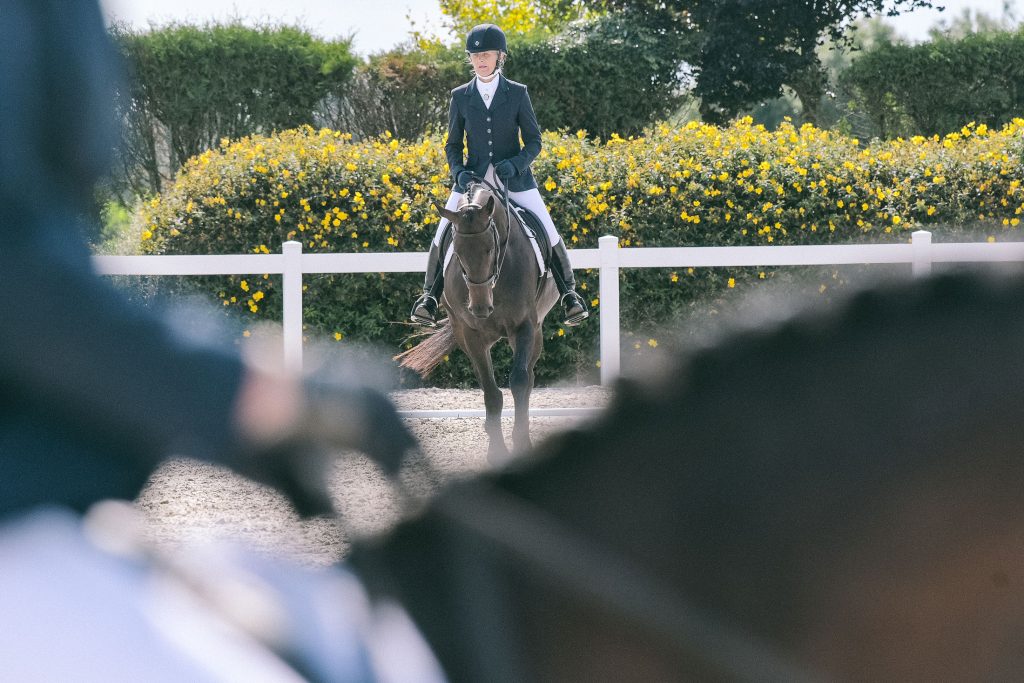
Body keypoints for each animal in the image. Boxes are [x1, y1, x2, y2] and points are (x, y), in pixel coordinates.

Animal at [399, 180, 561, 464]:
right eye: (457, 252)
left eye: (490, 249)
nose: (480, 308)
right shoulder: (471, 333)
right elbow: (491, 393)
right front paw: (496, 451)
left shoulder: (525, 326)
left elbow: (519, 382)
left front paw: (521, 443)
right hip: (465, 334)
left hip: (537, 330)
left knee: (529, 377)